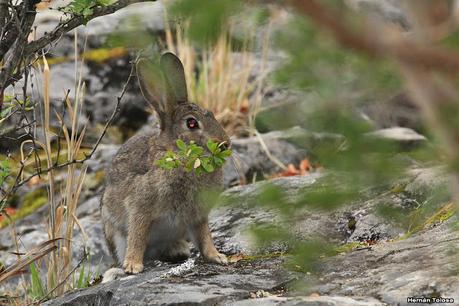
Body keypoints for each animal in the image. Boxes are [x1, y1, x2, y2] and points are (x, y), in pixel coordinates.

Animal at [100, 52, 230, 274]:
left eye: (212, 114)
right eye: (191, 123)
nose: (225, 144)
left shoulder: (198, 215)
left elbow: (205, 237)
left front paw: (218, 257)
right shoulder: (140, 208)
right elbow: (137, 236)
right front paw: (133, 266)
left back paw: (178, 251)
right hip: (113, 229)